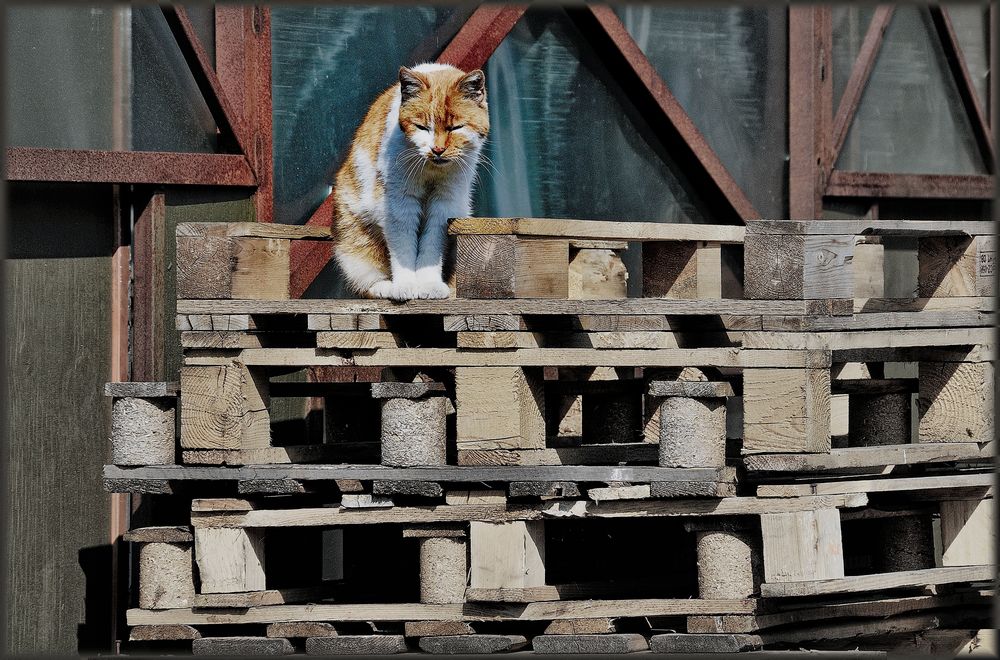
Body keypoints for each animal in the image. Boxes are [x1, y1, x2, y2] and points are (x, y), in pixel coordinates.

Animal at [334, 63, 490, 300]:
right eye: (422, 127)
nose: (437, 149)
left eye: (455, 128)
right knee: (367, 279)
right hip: (354, 240)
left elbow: (431, 247)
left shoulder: (444, 204)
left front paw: (429, 285)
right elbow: (403, 247)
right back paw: (386, 287)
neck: (431, 170)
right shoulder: (399, 204)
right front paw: (405, 286)